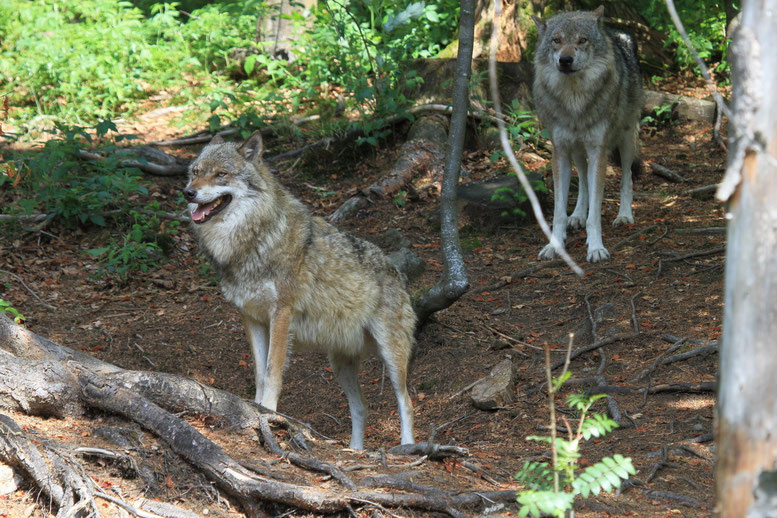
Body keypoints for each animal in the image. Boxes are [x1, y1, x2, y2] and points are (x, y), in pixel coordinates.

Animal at [182, 132, 415, 449]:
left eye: (221, 174)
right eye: (196, 172)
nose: (188, 193)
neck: (253, 241)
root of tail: (397, 271)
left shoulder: (281, 313)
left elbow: (273, 372)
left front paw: (268, 413)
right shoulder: (252, 318)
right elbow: (259, 373)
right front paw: (255, 409)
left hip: (391, 354)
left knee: (407, 401)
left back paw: (407, 447)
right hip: (340, 364)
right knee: (361, 407)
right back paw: (355, 450)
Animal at [532, 5, 643, 262]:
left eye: (582, 40)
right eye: (556, 40)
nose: (565, 60)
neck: (575, 102)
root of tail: (618, 33)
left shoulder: (598, 151)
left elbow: (596, 213)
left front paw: (595, 248)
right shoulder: (560, 152)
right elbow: (559, 212)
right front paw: (555, 245)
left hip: (625, 141)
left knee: (626, 177)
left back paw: (624, 215)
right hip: (576, 150)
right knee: (582, 179)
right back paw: (577, 214)